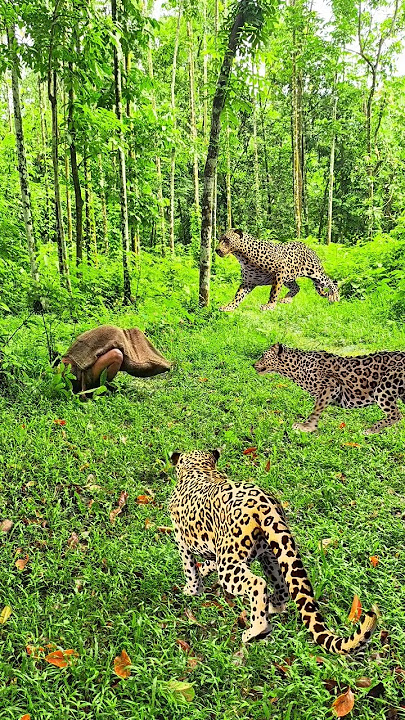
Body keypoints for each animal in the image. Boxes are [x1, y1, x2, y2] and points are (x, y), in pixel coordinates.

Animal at [168, 449, 377, 653]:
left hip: (230, 562)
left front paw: (192, 589)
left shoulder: (181, 539)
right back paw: (272, 606)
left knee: (258, 583)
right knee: (283, 587)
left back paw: (256, 631)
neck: (199, 468)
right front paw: (202, 571)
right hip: (273, 553)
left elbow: (189, 568)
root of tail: (265, 505)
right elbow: (206, 562)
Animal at [254, 343, 405, 434]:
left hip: (384, 388)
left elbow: (316, 409)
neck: (294, 367)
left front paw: (307, 427)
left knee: (396, 415)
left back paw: (371, 430)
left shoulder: (331, 386)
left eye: (263, 355)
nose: (253, 365)